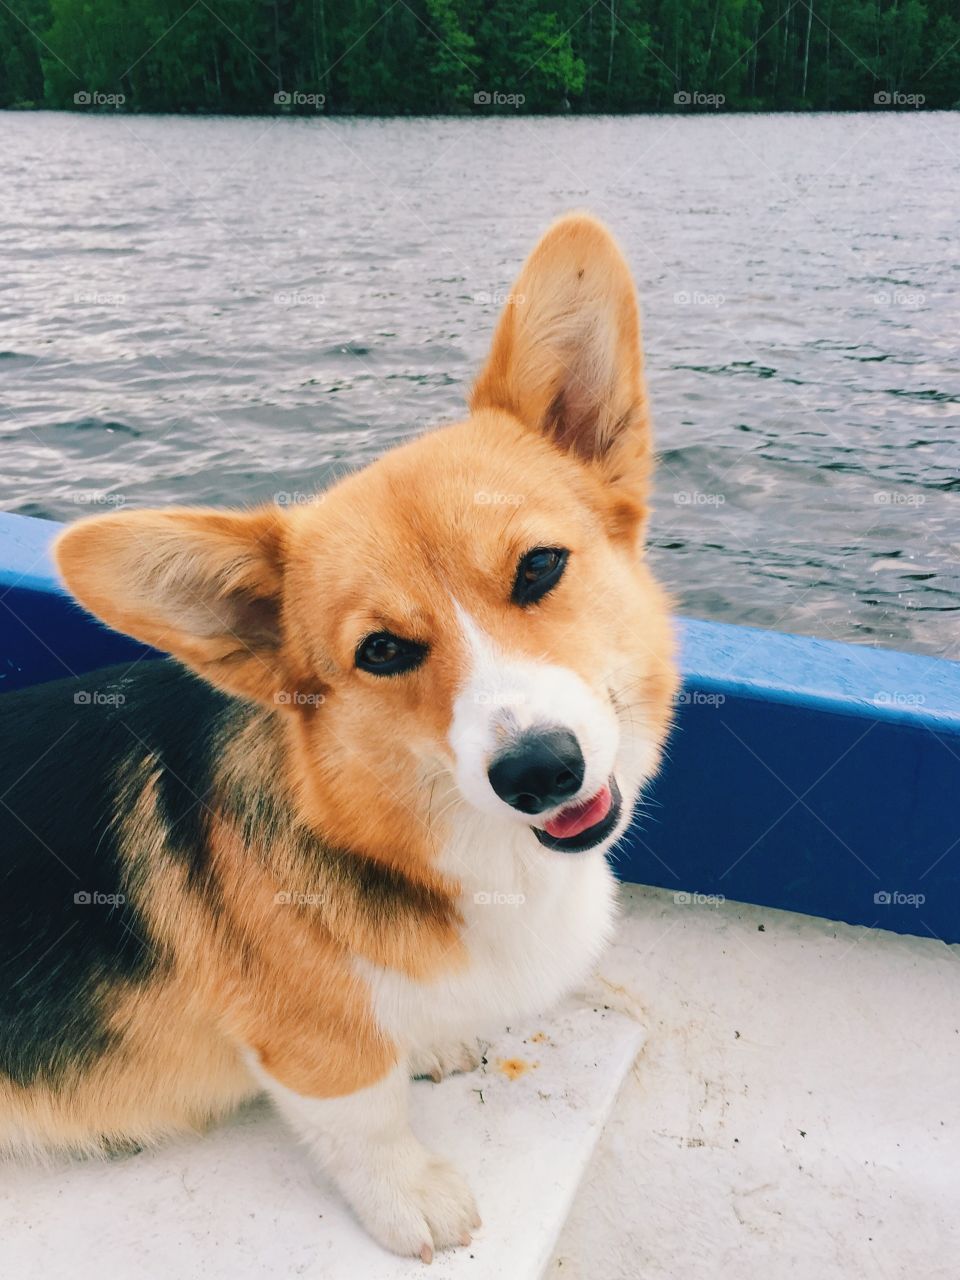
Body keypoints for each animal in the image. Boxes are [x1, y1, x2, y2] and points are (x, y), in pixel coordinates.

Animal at [0, 217, 675, 1259]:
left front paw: (433, 1039)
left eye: (540, 568)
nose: (540, 771)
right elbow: (362, 1112)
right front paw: (415, 1200)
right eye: (383, 651)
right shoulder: (306, 1040)